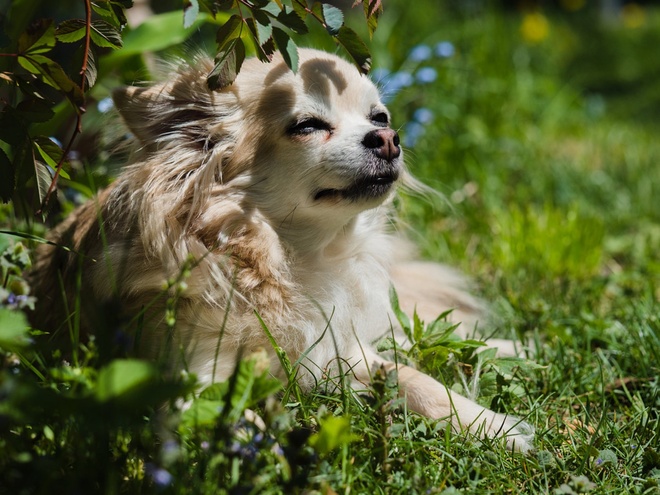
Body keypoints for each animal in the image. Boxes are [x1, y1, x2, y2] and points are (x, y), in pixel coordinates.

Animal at [31, 48, 532, 452]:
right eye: (307, 126)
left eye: (380, 118)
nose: (389, 140)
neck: (292, 260)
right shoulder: (192, 383)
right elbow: (244, 422)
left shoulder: (343, 351)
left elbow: (415, 378)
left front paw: (494, 426)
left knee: (416, 338)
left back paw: (512, 346)